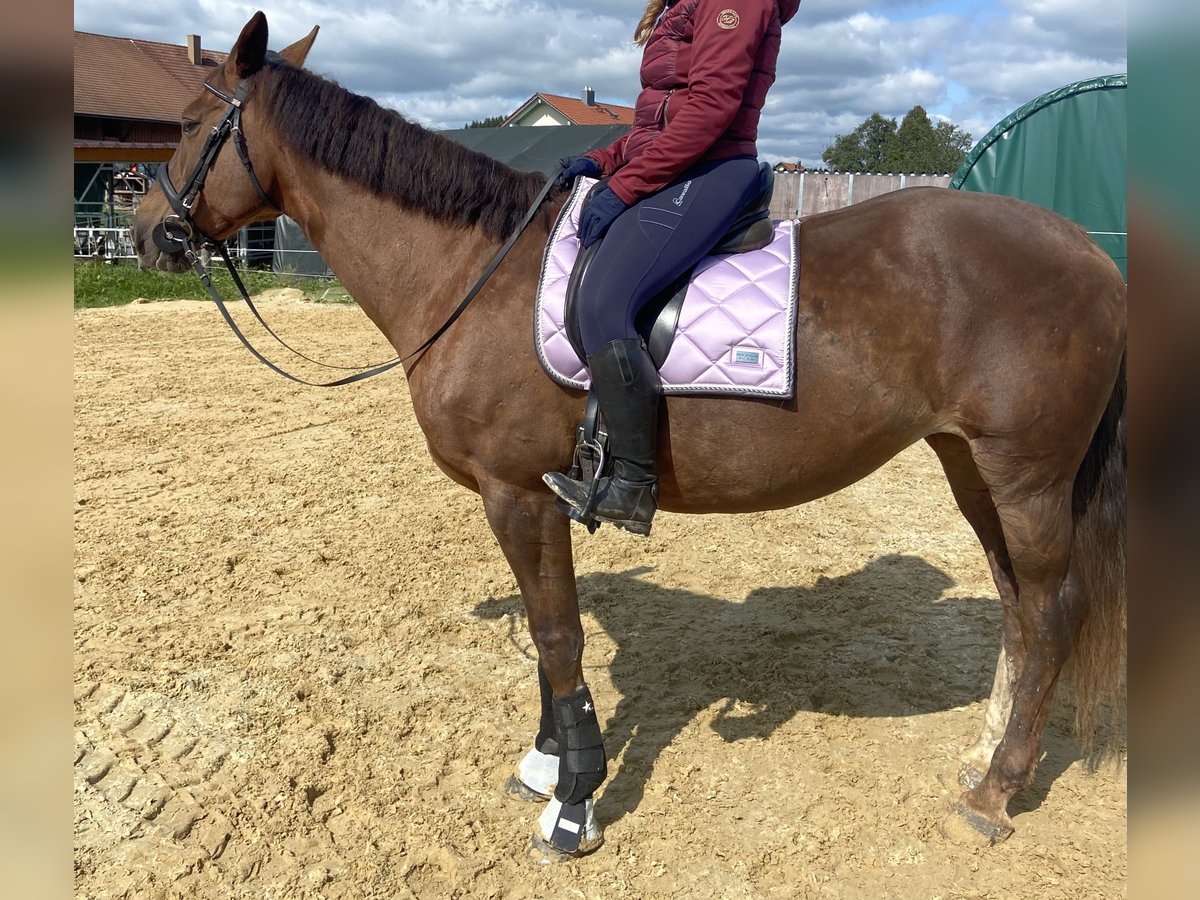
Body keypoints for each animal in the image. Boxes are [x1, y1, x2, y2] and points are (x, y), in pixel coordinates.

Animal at [136, 12, 1128, 859]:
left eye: (187, 124)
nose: (148, 233)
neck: (471, 271)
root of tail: (1091, 253)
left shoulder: (517, 493)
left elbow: (558, 637)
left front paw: (574, 804)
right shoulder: (528, 498)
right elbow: (549, 637)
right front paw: (545, 765)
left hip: (1028, 477)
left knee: (1052, 612)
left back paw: (996, 792)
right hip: (971, 467)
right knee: (1015, 606)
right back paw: (983, 758)